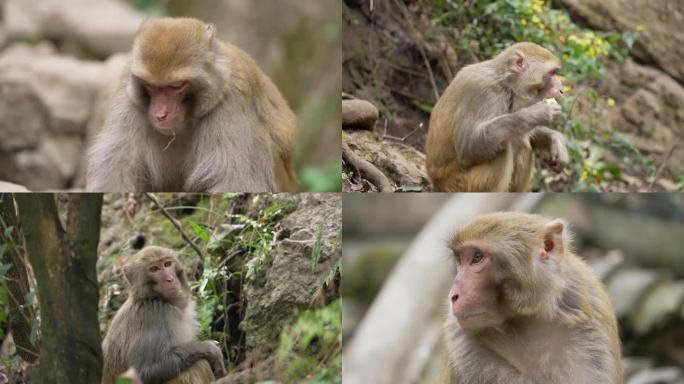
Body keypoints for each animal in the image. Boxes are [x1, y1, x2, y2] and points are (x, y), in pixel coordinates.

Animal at [87, 18, 296, 192]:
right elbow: (115, 171)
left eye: (176, 86)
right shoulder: (128, 95)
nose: (160, 114)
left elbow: (235, 181)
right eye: (150, 86)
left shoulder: (233, 101)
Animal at [101, 246, 226, 384]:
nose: (170, 279)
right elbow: (143, 372)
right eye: (154, 269)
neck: (153, 298)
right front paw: (210, 349)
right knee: (198, 364)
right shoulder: (153, 315)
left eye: (167, 264)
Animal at [424, 42, 568, 191]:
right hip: (458, 184)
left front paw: (556, 141)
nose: (562, 90)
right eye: (552, 73)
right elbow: (469, 146)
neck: (505, 83)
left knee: (522, 143)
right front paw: (539, 112)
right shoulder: (483, 91)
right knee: (503, 149)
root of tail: (436, 182)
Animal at [440, 212, 624, 382]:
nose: (452, 296)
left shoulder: (590, 335)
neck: (523, 324)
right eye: (459, 261)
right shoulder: (463, 348)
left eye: (477, 257)